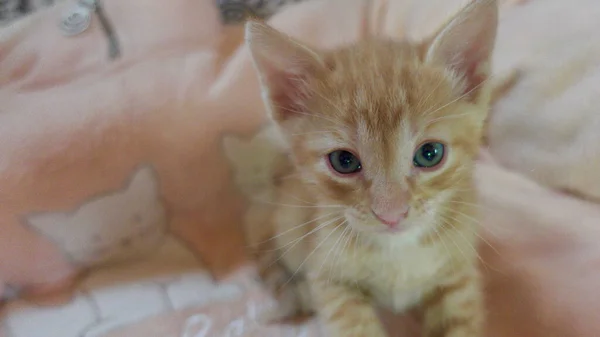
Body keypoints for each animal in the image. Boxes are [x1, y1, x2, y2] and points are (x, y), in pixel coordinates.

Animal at [246, 1, 500, 334]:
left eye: (430, 154)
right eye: (343, 161)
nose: (391, 215)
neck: (397, 251)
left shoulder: (458, 274)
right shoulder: (328, 278)